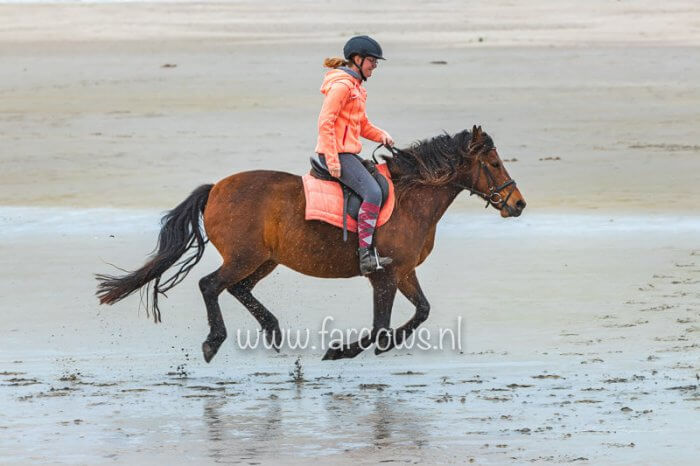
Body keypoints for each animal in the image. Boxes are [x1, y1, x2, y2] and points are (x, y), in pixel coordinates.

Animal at [94, 125, 524, 362]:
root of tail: (215, 188)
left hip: (265, 260)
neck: (410, 197)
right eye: (494, 163)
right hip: (245, 256)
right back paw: (214, 342)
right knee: (211, 285)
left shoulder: (403, 271)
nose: (518, 204)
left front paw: (375, 346)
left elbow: (421, 312)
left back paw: (273, 331)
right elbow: (380, 326)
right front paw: (341, 350)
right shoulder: (384, 276)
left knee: (238, 289)